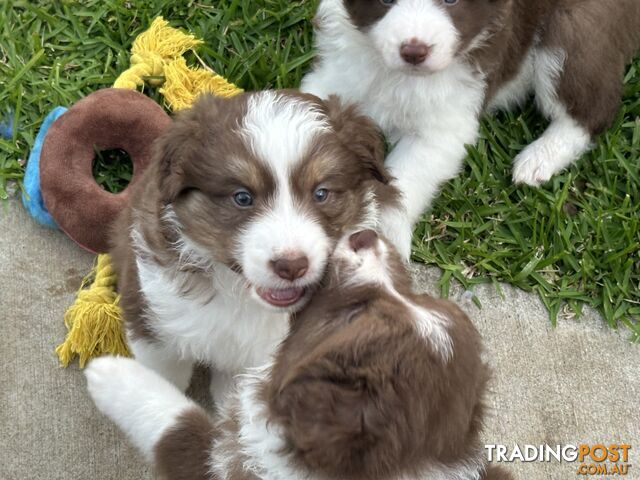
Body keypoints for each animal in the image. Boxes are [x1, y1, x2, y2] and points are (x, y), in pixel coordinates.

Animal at [87, 231, 512, 478]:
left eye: (354, 313)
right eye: (414, 296)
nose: (366, 234)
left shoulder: (218, 463)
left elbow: (177, 424)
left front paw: (110, 373)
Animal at [111, 90, 400, 398]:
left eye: (321, 193)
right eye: (242, 197)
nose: (291, 266)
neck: (242, 297)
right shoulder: (154, 323)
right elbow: (158, 383)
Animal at [302, 0, 640, 258]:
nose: (414, 51)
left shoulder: (445, 124)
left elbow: (406, 174)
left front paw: (380, 230)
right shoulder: (336, 75)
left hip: (573, 32)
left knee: (591, 110)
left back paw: (538, 158)